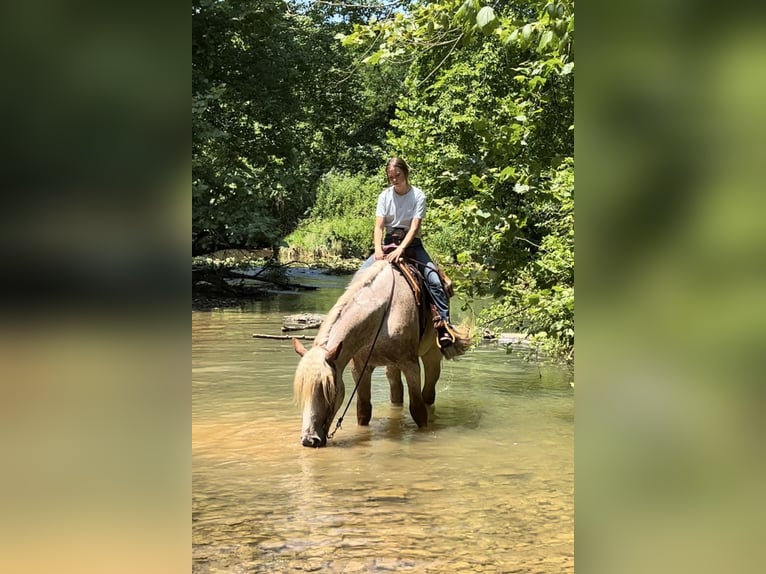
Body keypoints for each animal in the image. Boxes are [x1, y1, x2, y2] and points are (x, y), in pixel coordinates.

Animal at [294, 260, 474, 450]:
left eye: (329, 390)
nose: (309, 440)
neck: (383, 313)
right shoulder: (360, 369)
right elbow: (363, 411)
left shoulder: (411, 365)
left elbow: (418, 410)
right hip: (392, 366)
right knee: (396, 393)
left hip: (431, 354)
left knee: (428, 395)